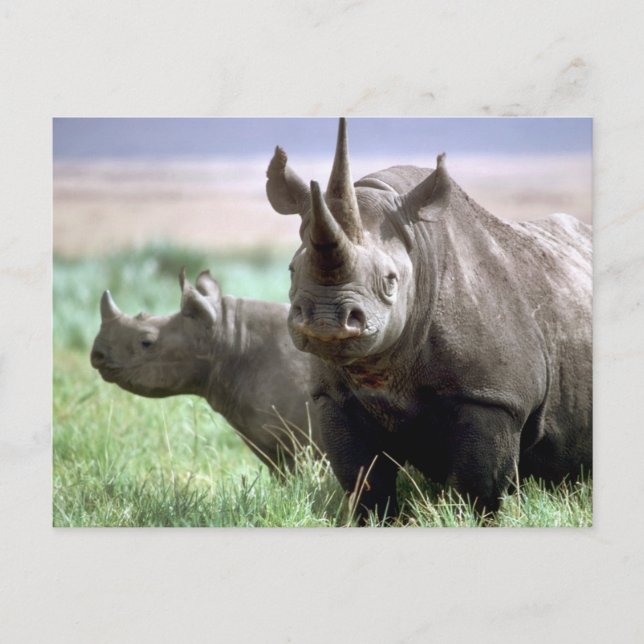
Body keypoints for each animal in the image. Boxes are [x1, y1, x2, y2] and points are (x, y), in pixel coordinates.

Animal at [266, 118, 592, 521]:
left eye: (390, 281)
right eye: (292, 271)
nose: (325, 320)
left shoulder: (493, 398)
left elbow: (476, 486)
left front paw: (466, 521)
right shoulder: (333, 396)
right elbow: (363, 481)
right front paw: (376, 522)